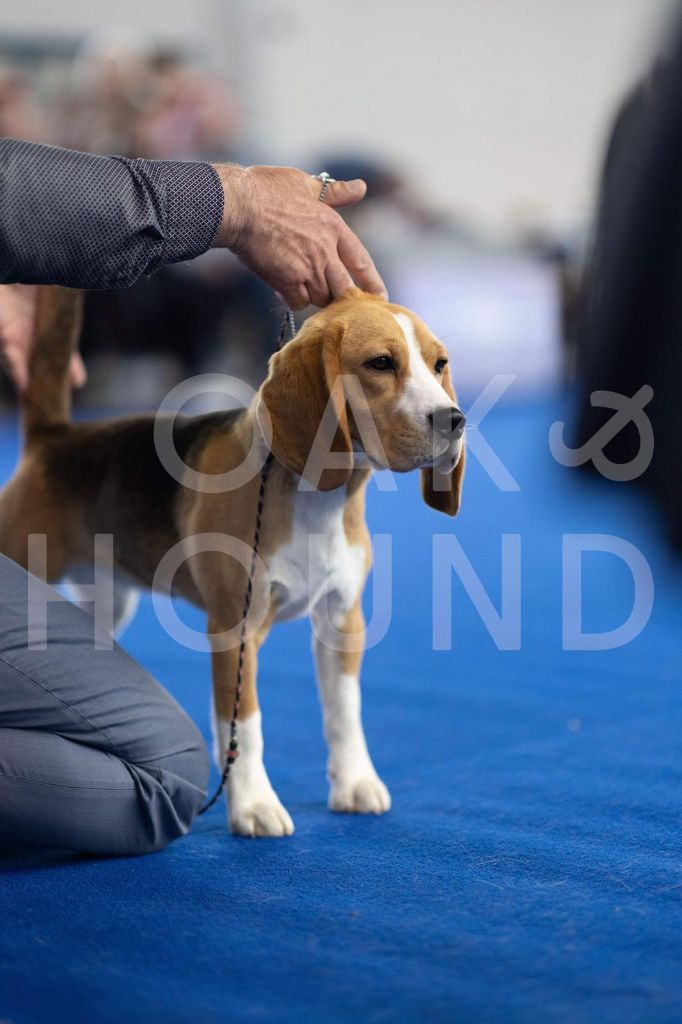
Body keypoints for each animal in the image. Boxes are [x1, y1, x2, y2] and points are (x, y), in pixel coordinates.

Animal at [0, 284, 462, 835]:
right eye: (381, 363)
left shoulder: (342, 619)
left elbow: (344, 711)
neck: (319, 500)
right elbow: (245, 724)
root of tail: (55, 438)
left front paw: (354, 783)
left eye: (439, 364)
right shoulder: (235, 629)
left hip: (107, 602)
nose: (455, 420)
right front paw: (254, 806)